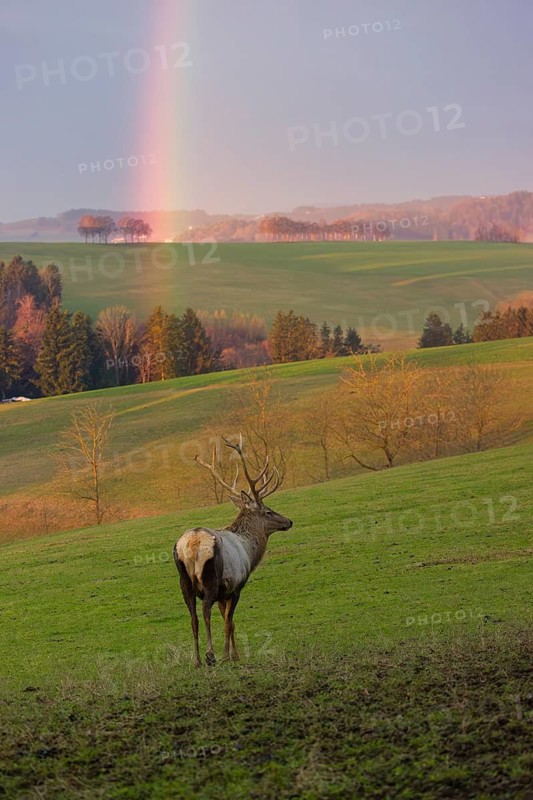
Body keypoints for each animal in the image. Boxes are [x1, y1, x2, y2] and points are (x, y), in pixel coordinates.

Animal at [173, 435, 292, 667]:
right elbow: (229, 621)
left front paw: (236, 654)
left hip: (184, 582)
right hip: (210, 577)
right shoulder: (235, 586)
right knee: (205, 610)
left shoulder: (223, 592)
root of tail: (192, 543)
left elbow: (230, 621)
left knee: (193, 617)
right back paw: (210, 656)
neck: (249, 552)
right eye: (268, 511)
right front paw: (228, 655)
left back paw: (197, 661)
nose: (289, 521)